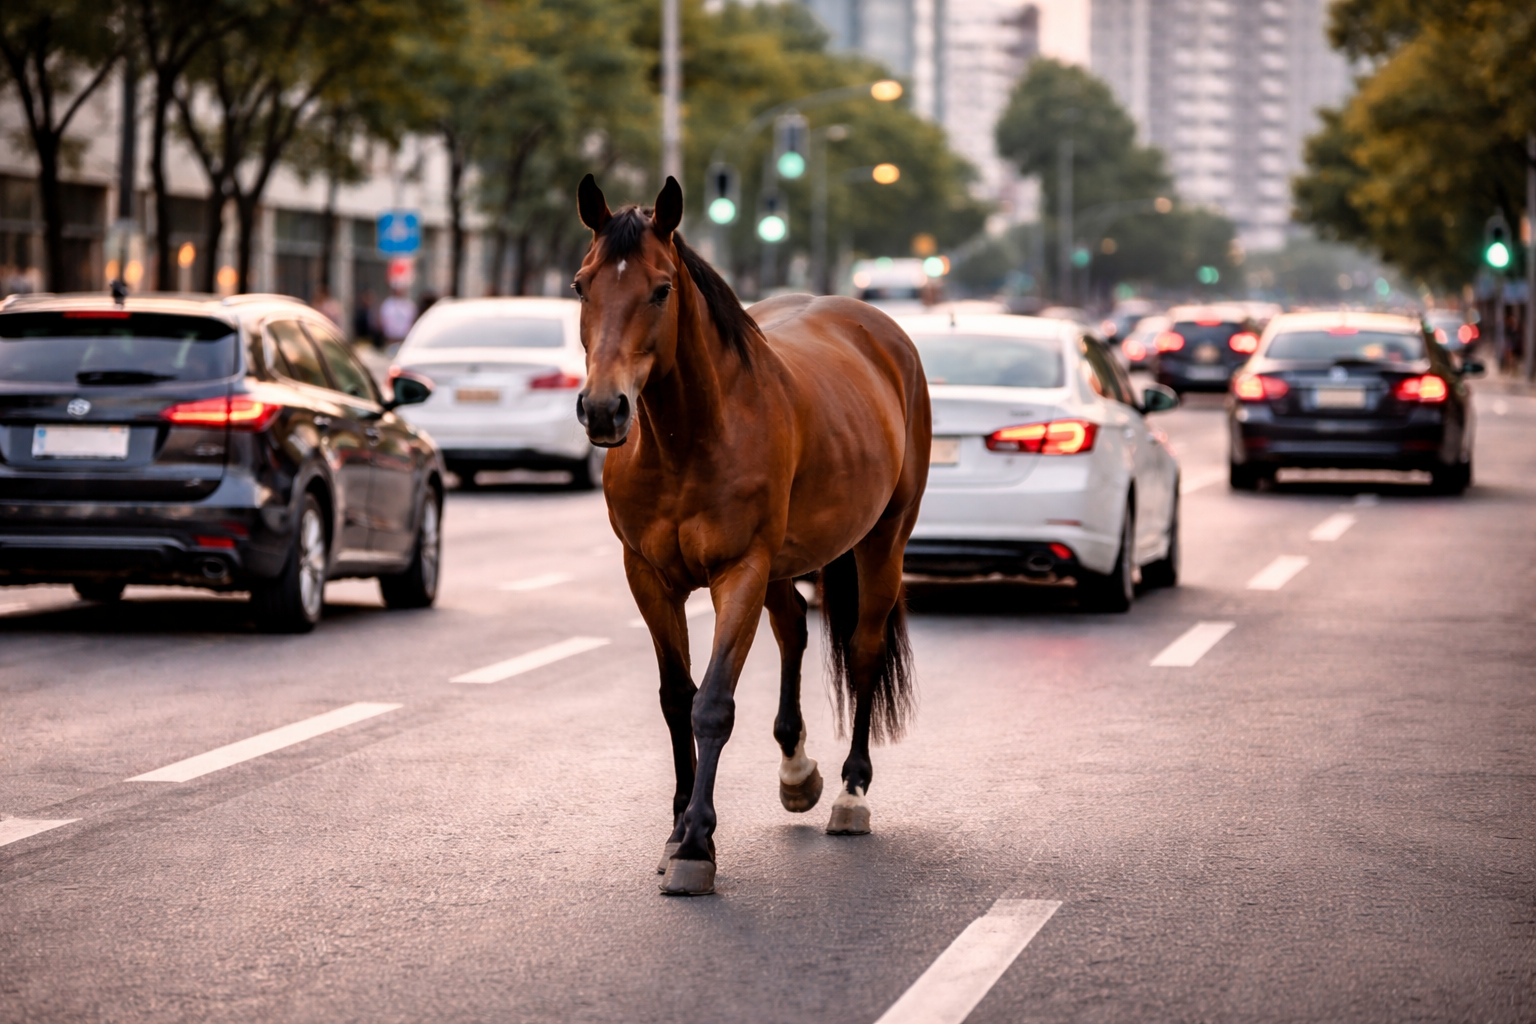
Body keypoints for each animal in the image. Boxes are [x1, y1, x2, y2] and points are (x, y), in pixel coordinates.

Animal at [573, 174, 930, 895]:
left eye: (661, 289)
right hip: (783, 562)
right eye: (580, 285)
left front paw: (696, 846)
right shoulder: (648, 577)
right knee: (793, 626)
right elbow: (676, 698)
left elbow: (712, 704)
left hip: (882, 542)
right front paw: (677, 827)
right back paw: (797, 771)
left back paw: (851, 794)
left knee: (865, 648)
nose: (602, 409)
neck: (686, 440)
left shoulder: (738, 570)